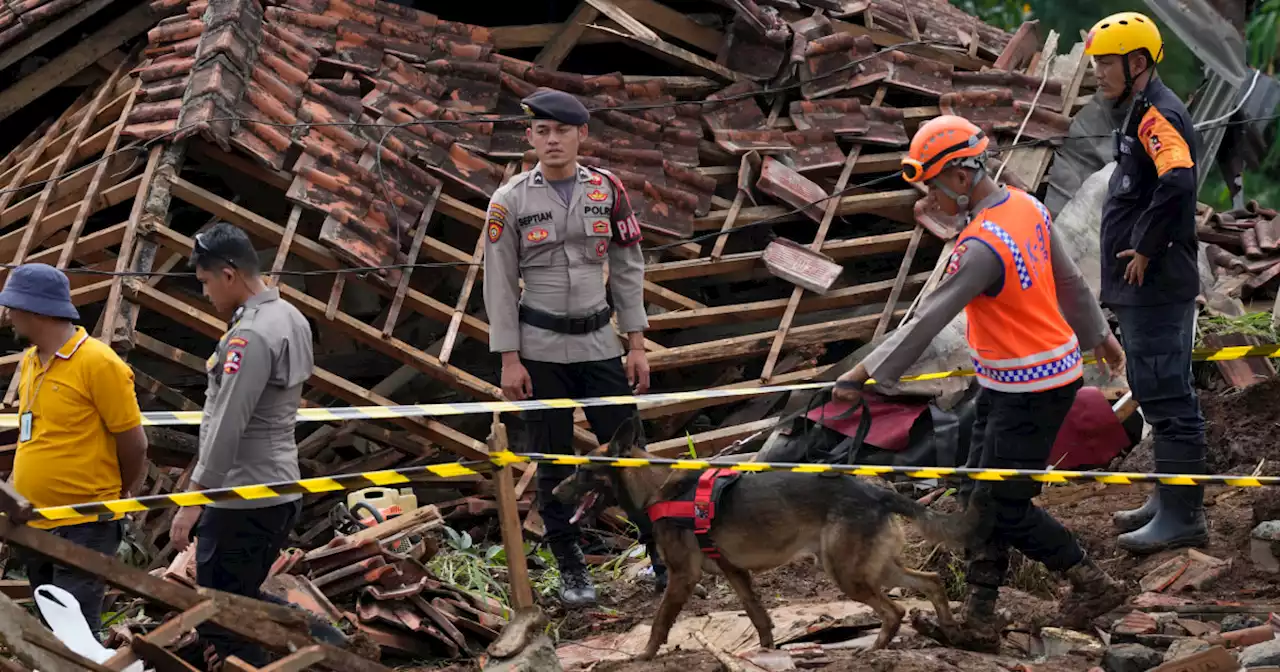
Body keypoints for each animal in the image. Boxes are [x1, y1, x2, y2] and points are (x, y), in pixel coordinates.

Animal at [552, 417, 977, 655]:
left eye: (584, 472)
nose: (554, 493)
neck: (656, 487)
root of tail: (879, 492)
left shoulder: (682, 578)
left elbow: (659, 621)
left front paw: (645, 655)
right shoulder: (735, 573)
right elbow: (758, 616)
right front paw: (767, 651)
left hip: (847, 574)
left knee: (894, 611)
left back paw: (876, 649)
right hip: (872, 567)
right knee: (932, 580)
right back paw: (949, 628)